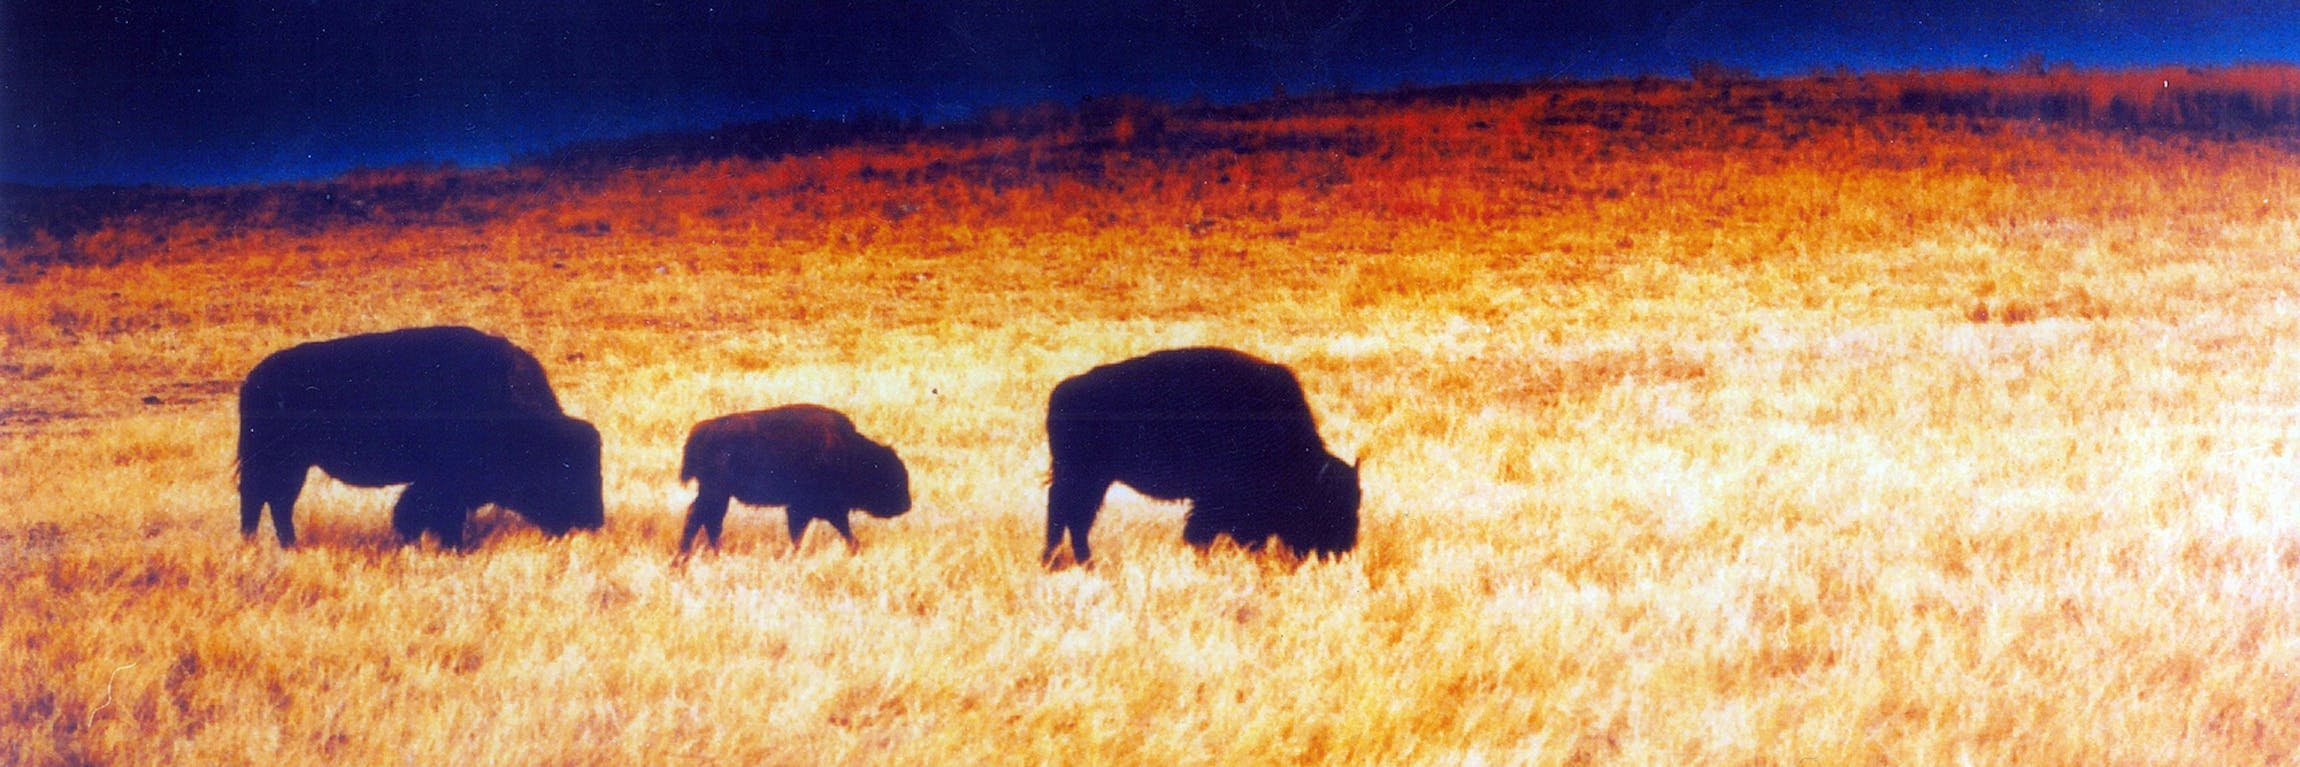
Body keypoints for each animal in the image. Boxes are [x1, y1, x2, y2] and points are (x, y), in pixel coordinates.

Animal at [236, 326, 605, 548]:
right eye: (564, 470)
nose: (592, 522)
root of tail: (254, 379)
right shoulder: (442, 482)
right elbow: (425, 511)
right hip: (278, 463)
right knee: (263, 500)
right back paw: (265, 545)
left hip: (291, 466)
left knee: (273, 501)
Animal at [678, 404, 911, 554]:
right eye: (888, 476)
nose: (906, 505)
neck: (850, 453)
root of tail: (703, 430)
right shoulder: (811, 508)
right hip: (715, 492)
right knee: (703, 518)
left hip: (717, 494)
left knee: (705, 518)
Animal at [1043, 346, 1359, 565]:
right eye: (1328, 505)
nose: (1342, 551)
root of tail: (1063, 390)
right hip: (1084, 477)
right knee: (1069, 514)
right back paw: (1070, 562)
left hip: (1090, 479)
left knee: (1071, 515)